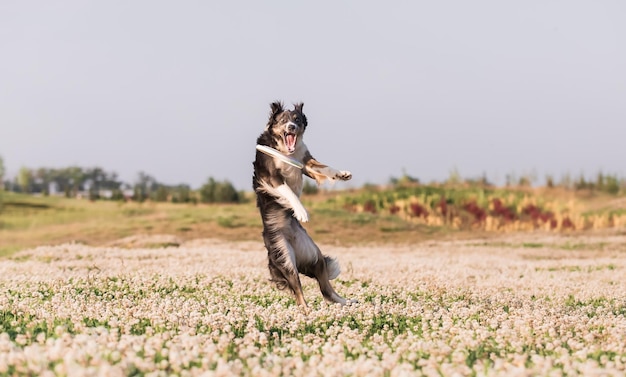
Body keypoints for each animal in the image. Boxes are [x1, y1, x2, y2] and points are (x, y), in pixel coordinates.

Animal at [252, 101, 352, 306]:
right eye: (283, 120)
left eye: (297, 119)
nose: (292, 127)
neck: (285, 149)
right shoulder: (272, 177)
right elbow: (289, 192)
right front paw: (302, 212)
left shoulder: (306, 162)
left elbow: (326, 167)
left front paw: (342, 174)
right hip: (285, 258)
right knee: (299, 294)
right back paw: (306, 311)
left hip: (314, 255)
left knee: (326, 289)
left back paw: (346, 302)